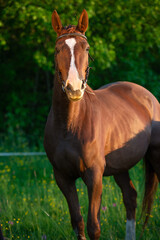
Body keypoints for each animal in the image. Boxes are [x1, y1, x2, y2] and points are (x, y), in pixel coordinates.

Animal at [43, 9, 160, 240]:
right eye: (57, 49)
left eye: (86, 48)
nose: (74, 88)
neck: (69, 126)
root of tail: (148, 97)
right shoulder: (63, 177)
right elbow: (78, 223)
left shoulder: (94, 175)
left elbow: (93, 226)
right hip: (120, 166)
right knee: (130, 197)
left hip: (156, 155)